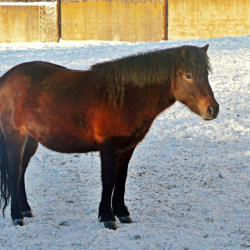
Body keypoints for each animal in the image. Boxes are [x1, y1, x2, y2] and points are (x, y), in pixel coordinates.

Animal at [0, 44, 219, 229]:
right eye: (188, 75)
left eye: (205, 74)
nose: (213, 109)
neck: (126, 97)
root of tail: (6, 79)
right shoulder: (109, 148)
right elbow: (108, 180)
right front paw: (107, 218)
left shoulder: (127, 148)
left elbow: (121, 179)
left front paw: (122, 213)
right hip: (16, 138)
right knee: (14, 172)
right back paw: (16, 216)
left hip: (31, 141)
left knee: (21, 172)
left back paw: (25, 210)